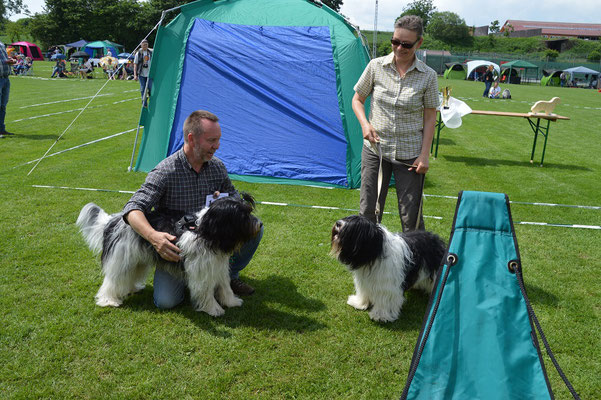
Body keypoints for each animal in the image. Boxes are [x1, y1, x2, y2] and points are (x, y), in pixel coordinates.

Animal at [75, 192, 260, 318]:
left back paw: (132, 288)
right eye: (243, 215)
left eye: (249, 211)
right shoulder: (201, 271)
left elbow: (225, 286)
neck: (206, 232)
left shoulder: (218, 266)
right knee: (112, 280)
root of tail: (113, 221)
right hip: (121, 259)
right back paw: (108, 300)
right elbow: (206, 291)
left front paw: (232, 301)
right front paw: (214, 309)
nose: (259, 224)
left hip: (136, 260)